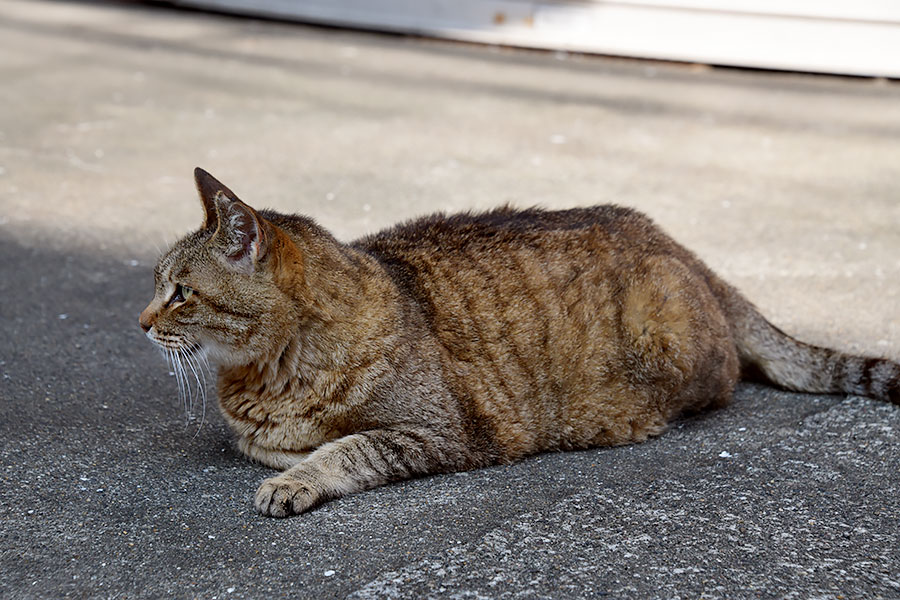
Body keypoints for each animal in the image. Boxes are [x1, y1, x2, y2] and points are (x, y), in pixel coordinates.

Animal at [139, 168, 900, 516]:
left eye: (179, 292)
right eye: (156, 285)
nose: (141, 323)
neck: (270, 372)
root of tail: (684, 248)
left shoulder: (439, 432)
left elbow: (346, 449)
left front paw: (294, 478)